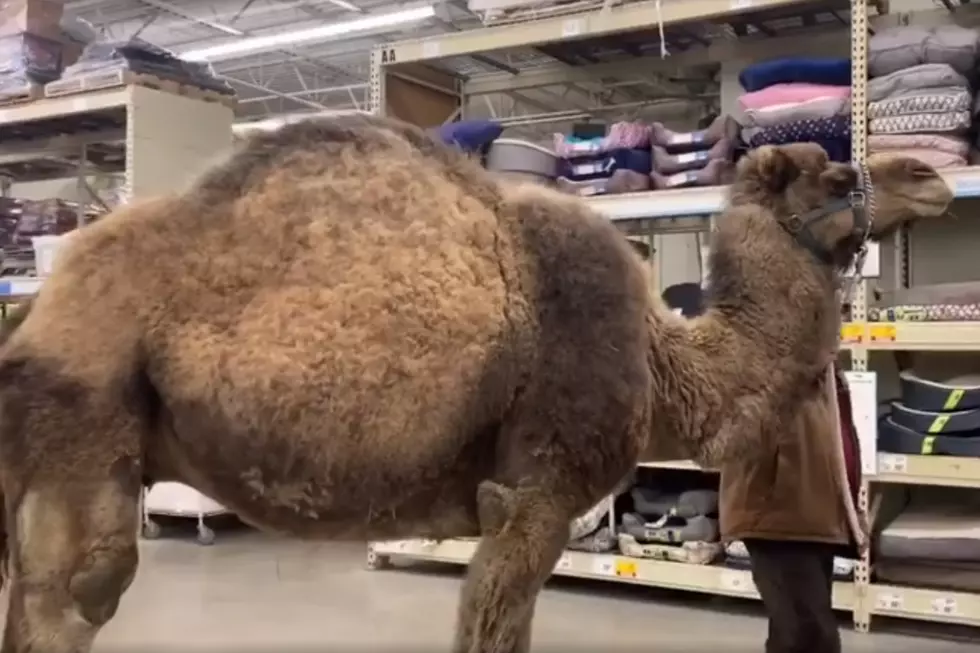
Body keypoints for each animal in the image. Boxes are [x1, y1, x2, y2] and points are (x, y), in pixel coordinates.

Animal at [0, 113, 952, 652]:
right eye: (837, 174)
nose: (931, 175)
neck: (663, 361)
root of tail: (38, 307)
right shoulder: (535, 492)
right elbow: (493, 627)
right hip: (86, 415)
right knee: (78, 592)